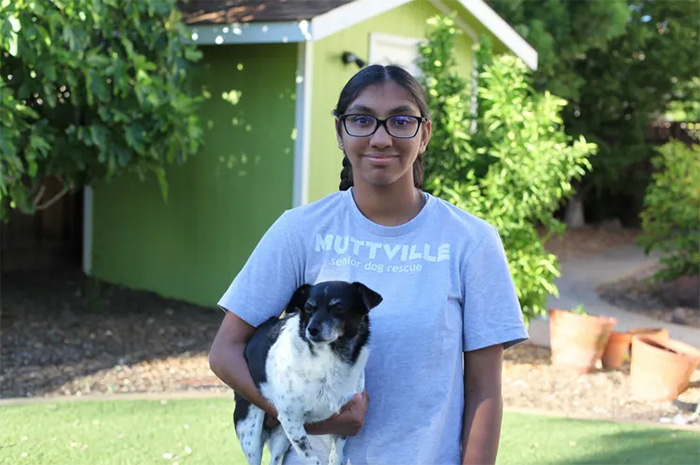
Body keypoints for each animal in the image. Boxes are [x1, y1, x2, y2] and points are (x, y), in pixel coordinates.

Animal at [234, 280, 382, 464]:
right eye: (308, 308)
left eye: (339, 307)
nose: (312, 329)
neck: (330, 358)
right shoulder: (291, 419)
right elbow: (312, 458)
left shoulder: (344, 423)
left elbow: (336, 455)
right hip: (250, 432)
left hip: (280, 437)